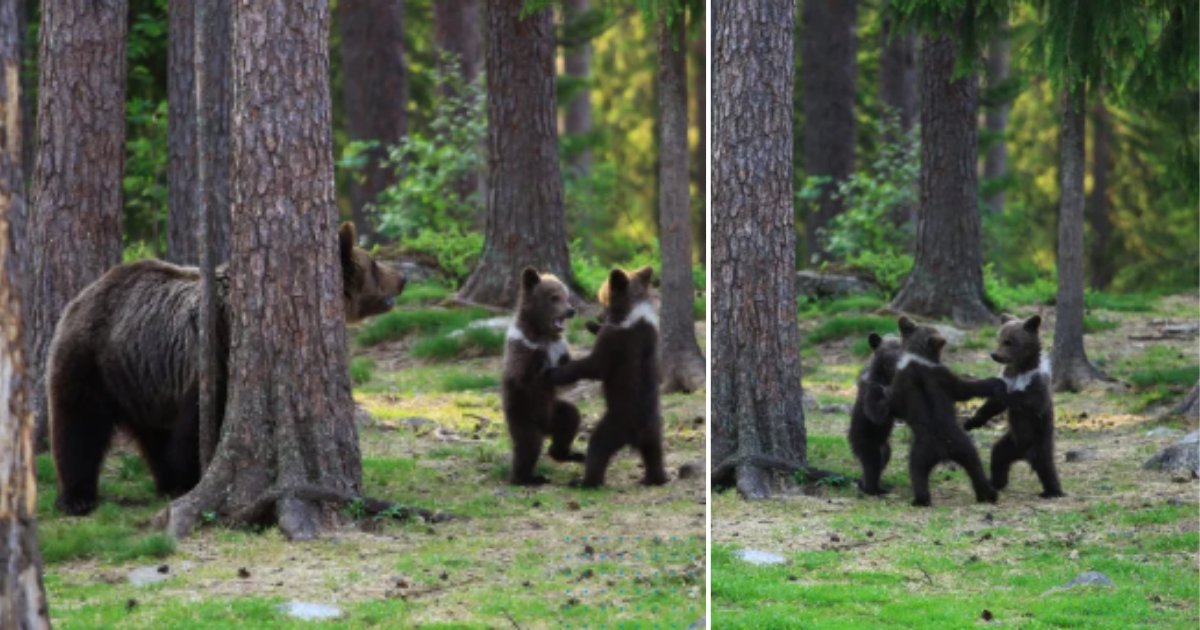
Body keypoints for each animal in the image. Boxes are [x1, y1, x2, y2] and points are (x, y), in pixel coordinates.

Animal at [48, 223, 403, 513]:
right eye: (373, 263)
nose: (403, 278)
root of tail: (85, 293)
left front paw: (183, 481)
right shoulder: (214, 358)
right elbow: (197, 428)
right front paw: (193, 479)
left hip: (142, 378)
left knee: (153, 434)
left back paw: (165, 481)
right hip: (92, 360)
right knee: (79, 424)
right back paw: (77, 497)